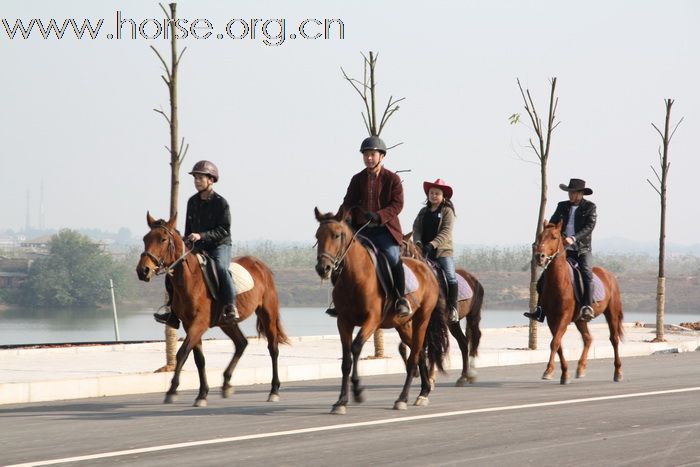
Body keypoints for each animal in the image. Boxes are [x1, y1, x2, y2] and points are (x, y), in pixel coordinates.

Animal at [137, 212, 290, 406]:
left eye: (163, 239)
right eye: (145, 238)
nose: (142, 270)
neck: (191, 279)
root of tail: (262, 266)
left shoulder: (199, 323)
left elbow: (182, 353)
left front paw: (172, 390)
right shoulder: (189, 324)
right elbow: (198, 359)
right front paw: (202, 393)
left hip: (267, 313)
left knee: (273, 349)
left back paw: (274, 390)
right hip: (227, 322)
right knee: (241, 343)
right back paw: (226, 384)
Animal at [316, 208, 452, 414]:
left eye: (336, 235)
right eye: (317, 236)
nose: (323, 268)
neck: (355, 276)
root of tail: (427, 269)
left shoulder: (372, 320)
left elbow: (356, 347)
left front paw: (358, 390)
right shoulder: (343, 321)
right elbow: (346, 359)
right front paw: (341, 401)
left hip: (422, 319)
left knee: (414, 356)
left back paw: (403, 398)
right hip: (403, 325)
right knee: (419, 351)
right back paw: (424, 392)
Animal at [402, 234, 484, 388]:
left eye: (402, 247)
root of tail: (474, 279)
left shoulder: (434, 322)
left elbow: (432, 347)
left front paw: (430, 378)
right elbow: (416, 345)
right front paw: (418, 373)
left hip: (473, 315)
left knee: (476, 336)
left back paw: (471, 373)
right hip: (453, 323)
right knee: (463, 342)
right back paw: (463, 376)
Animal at [536, 219, 624, 384]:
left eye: (554, 237)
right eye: (540, 236)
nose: (540, 256)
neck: (559, 282)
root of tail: (610, 275)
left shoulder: (564, 317)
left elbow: (555, 342)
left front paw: (548, 370)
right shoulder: (551, 319)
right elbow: (558, 344)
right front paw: (563, 373)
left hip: (612, 313)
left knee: (614, 339)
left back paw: (618, 372)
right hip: (580, 319)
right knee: (588, 338)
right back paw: (581, 368)